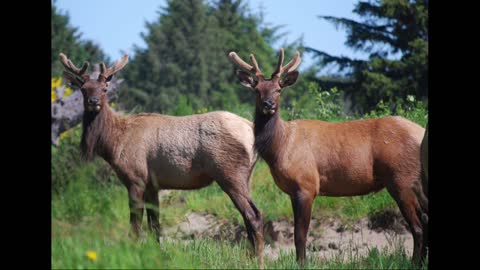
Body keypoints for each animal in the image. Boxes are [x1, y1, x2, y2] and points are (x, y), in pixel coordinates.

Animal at [59, 53, 266, 268]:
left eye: (104, 89)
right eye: (83, 89)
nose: (93, 101)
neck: (114, 144)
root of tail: (250, 128)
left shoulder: (136, 179)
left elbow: (135, 227)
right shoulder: (153, 185)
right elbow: (155, 227)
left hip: (230, 173)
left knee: (254, 215)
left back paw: (258, 262)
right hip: (245, 176)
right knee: (250, 216)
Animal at [229, 48, 428, 266]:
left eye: (278, 89)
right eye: (257, 90)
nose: (268, 104)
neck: (280, 147)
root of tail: (421, 132)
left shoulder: (307, 185)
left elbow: (300, 235)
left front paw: (302, 263)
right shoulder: (293, 190)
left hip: (401, 179)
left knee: (418, 226)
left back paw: (414, 263)